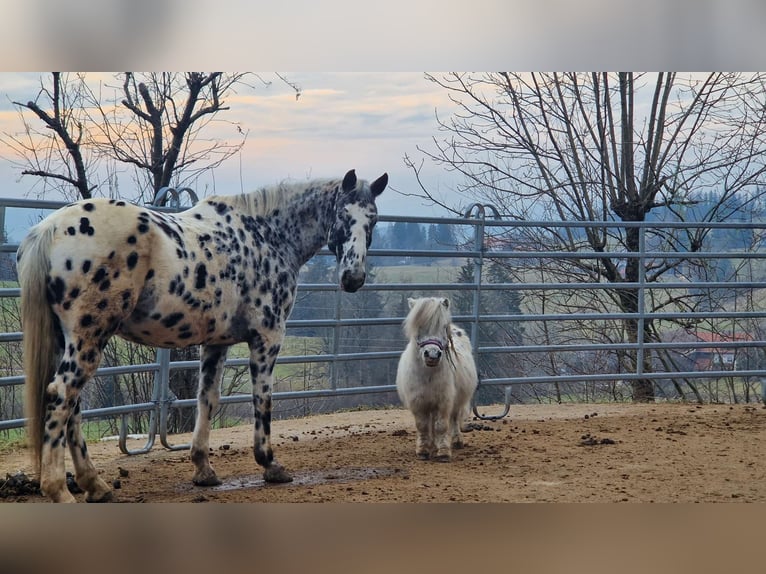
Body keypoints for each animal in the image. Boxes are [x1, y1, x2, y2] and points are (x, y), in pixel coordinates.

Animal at [16, 170, 390, 504]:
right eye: (343, 215)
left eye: (372, 219)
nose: (353, 277)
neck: (267, 235)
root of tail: (50, 229)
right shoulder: (267, 338)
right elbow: (263, 400)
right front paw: (270, 464)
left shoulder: (215, 343)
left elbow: (207, 400)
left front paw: (203, 470)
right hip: (89, 339)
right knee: (61, 397)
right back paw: (60, 491)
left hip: (70, 342)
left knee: (73, 407)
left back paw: (96, 486)